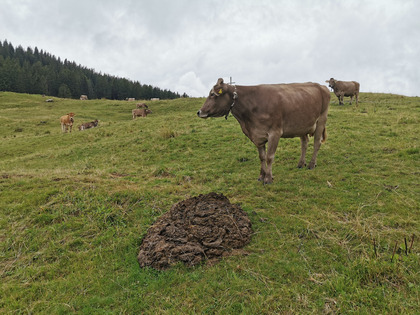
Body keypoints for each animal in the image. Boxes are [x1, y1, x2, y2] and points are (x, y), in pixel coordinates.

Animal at [198, 78, 332, 185]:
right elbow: (262, 157)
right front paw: (261, 176)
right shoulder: (257, 136)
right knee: (304, 143)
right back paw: (301, 163)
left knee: (316, 143)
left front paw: (268, 178)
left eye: (213, 94)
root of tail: (320, 85)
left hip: (321, 119)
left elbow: (269, 157)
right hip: (302, 125)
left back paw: (311, 164)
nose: (199, 112)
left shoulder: (275, 133)